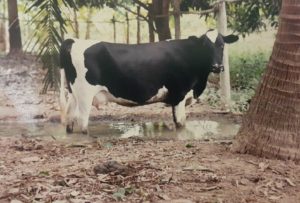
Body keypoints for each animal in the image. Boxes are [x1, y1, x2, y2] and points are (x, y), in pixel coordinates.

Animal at [59, 29, 238, 133]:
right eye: (205, 46)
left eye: (222, 45)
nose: (217, 66)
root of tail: (74, 40)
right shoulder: (179, 94)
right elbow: (180, 124)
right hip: (85, 95)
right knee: (82, 122)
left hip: (73, 94)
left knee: (69, 119)